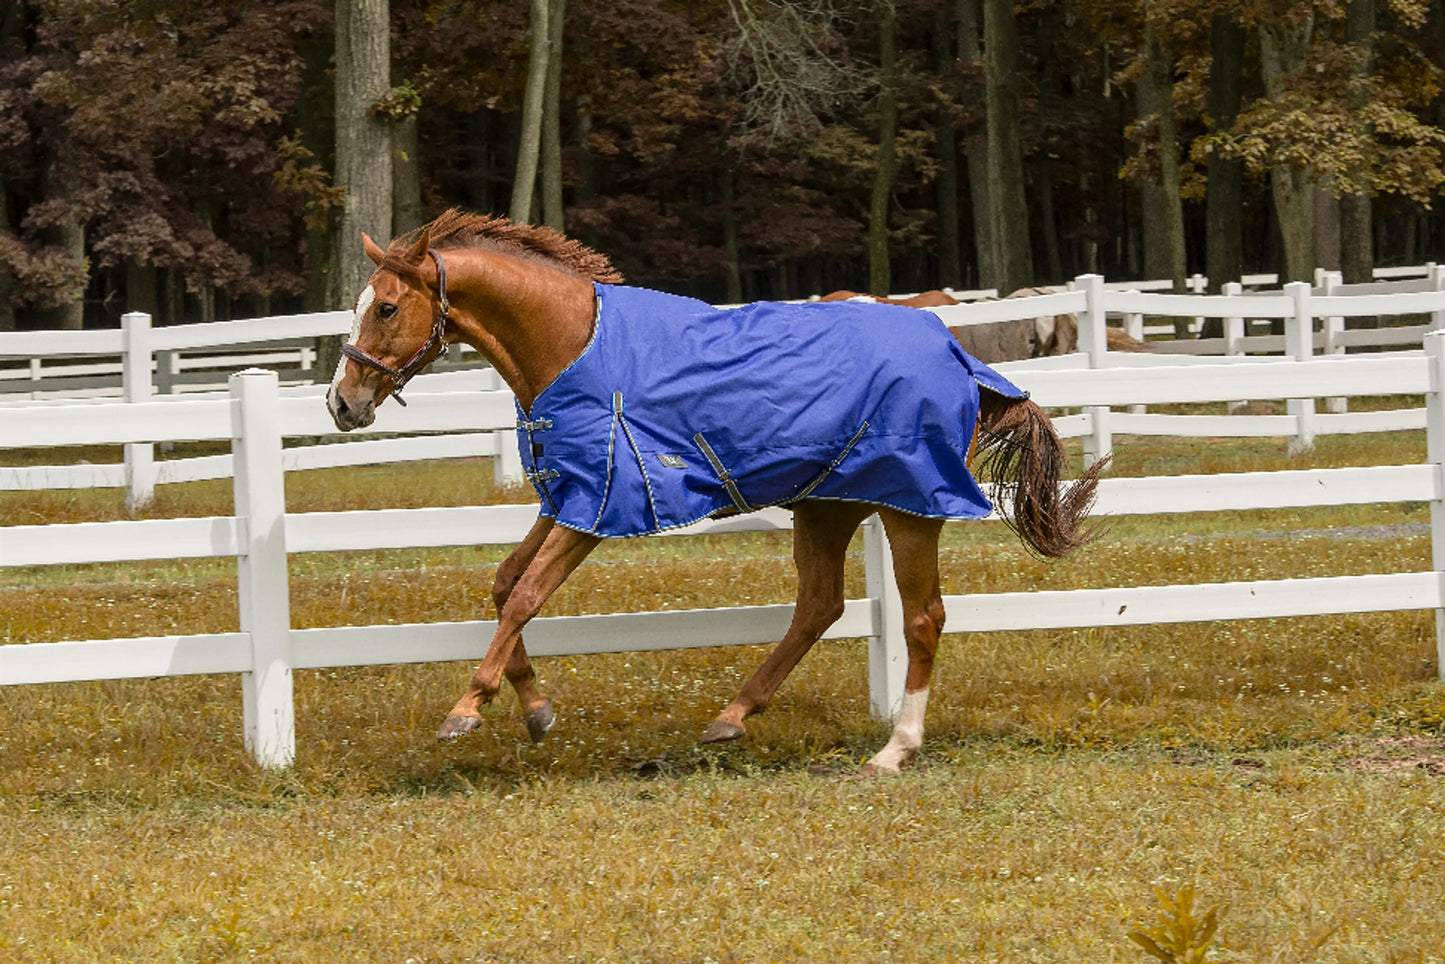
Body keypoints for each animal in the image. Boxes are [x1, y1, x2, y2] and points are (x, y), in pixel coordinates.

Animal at [327, 210, 1105, 775]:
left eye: (386, 308)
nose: (341, 403)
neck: (574, 344)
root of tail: (959, 353)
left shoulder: (596, 508)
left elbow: (524, 596)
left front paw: (466, 708)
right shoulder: (565, 498)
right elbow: (503, 583)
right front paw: (535, 708)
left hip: (908, 507)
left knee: (921, 619)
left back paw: (894, 749)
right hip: (826, 508)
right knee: (819, 607)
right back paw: (732, 716)